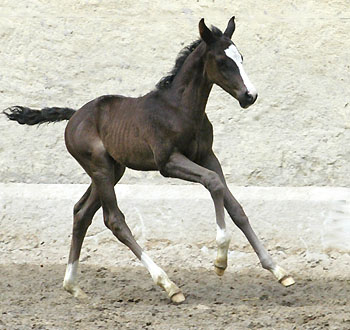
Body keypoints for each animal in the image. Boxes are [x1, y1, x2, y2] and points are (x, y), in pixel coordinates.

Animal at [4, 16, 294, 302]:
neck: (180, 109)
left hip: (113, 170)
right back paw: (168, 284)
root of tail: (74, 115)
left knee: (81, 212)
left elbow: (235, 206)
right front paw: (220, 259)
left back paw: (73, 285)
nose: (250, 96)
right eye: (223, 62)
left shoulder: (207, 156)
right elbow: (213, 183)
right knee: (114, 220)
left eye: (241, 57)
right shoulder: (168, 162)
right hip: (100, 168)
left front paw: (278, 270)